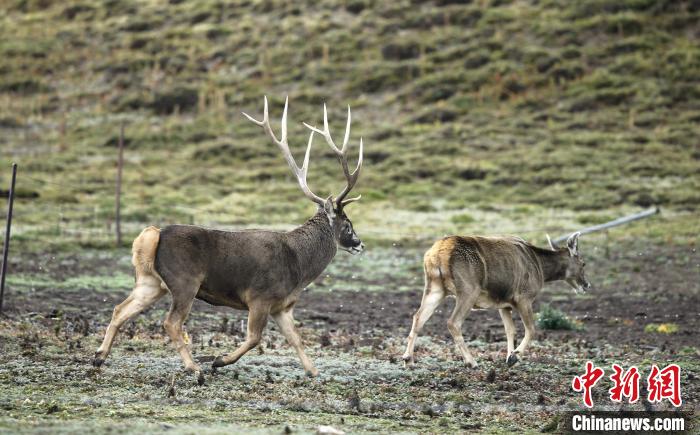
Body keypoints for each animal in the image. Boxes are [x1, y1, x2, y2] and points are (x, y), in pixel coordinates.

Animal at [93, 96, 364, 384]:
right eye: (348, 224)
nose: (360, 244)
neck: (300, 265)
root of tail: (153, 235)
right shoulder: (260, 296)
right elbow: (255, 338)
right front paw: (218, 360)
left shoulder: (282, 306)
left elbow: (296, 339)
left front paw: (313, 371)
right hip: (185, 280)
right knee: (171, 322)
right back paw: (194, 368)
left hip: (150, 282)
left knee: (120, 309)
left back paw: (99, 357)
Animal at [402, 232, 590, 368]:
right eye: (583, 263)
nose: (586, 285)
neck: (542, 271)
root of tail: (436, 254)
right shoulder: (524, 296)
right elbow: (531, 329)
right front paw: (514, 357)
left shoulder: (504, 303)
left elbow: (510, 330)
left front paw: (509, 357)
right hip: (469, 288)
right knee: (452, 322)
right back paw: (472, 362)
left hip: (435, 287)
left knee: (418, 317)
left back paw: (408, 359)